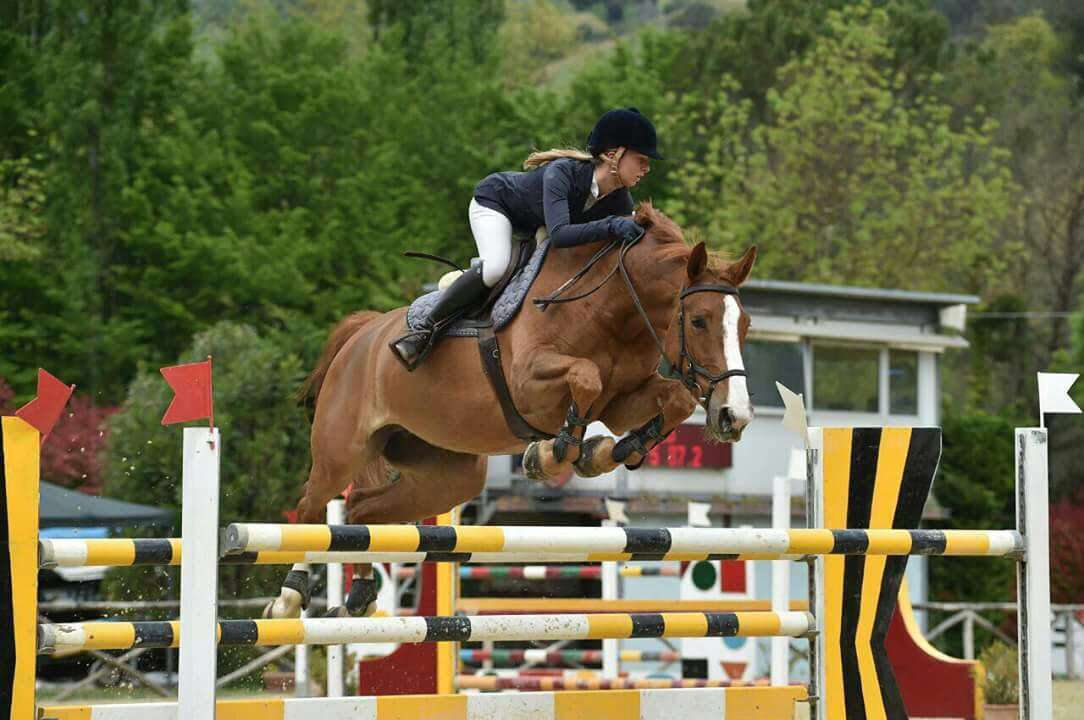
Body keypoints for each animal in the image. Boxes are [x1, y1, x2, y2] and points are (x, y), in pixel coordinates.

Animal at [264, 203, 754, 620]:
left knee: (360, 511)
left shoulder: (621, 401)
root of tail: (360, 333)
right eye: (699, 321)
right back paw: (288, 598)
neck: (612, 309)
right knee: (311, 506)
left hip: (447, 475)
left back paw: (362, 594)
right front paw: (553, 454)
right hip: (342, 450)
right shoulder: (529, 382)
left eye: (745, 325)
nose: (735, 416)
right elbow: (586, 377)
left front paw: (601, 453)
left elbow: (674, 400)